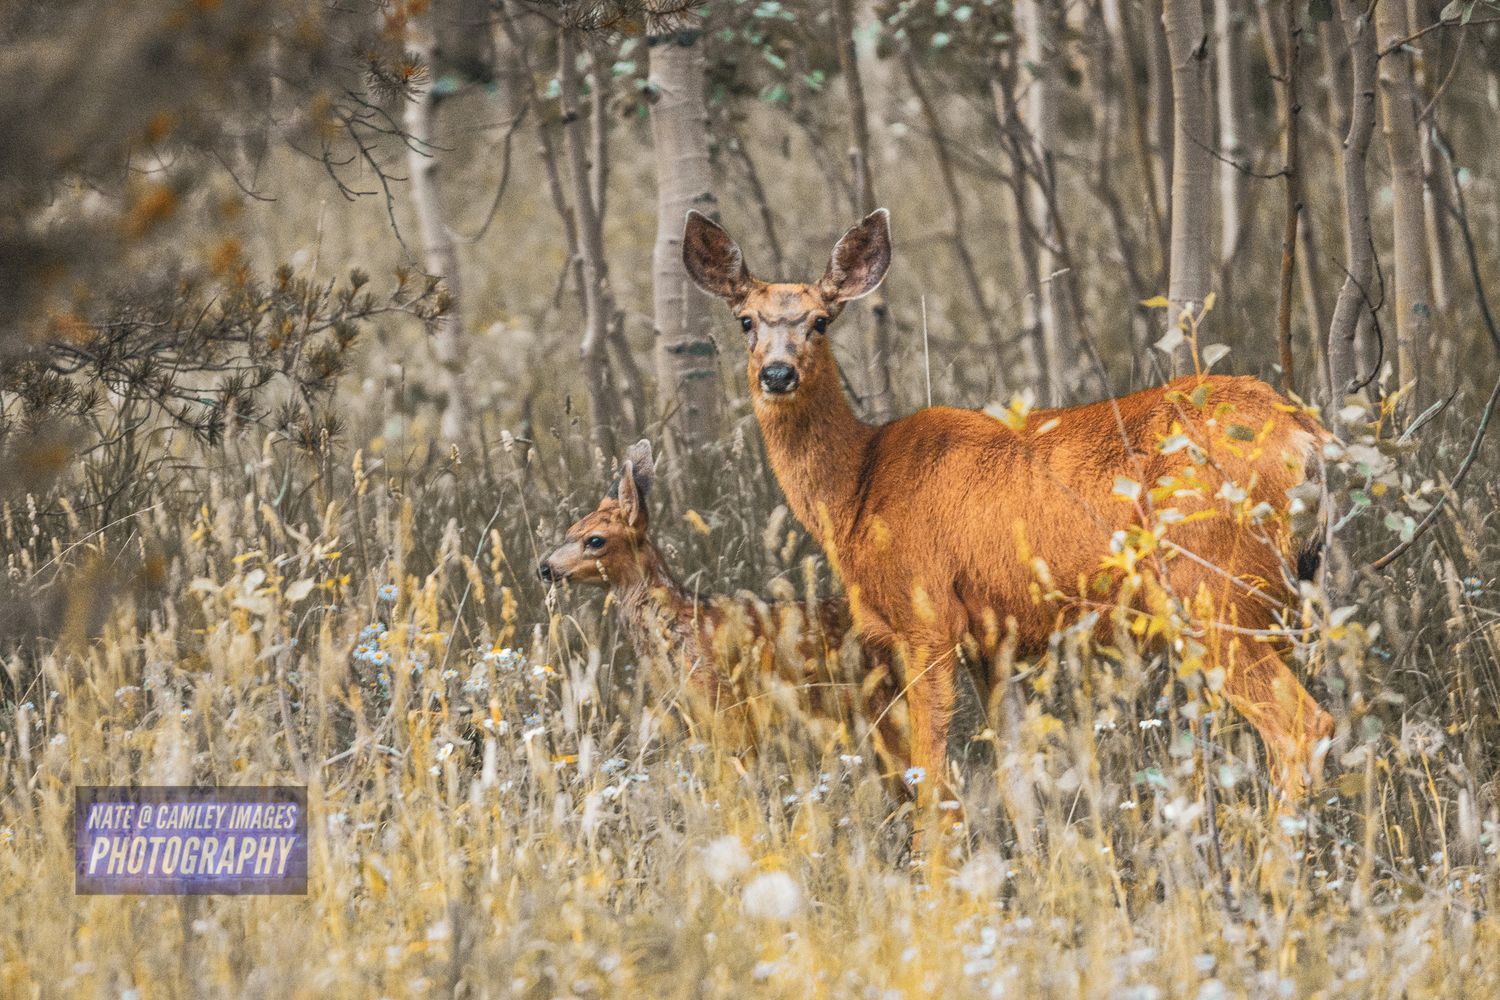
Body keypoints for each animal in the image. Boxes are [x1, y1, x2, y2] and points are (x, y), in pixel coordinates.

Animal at [538, 440, 909, 777]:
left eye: (595, 540)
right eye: (570, 530)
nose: (545, 568)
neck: (680, 625)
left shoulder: (727, 707)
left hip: (885, 706)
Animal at [682, 208, 1335, 845]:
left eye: (820, 320)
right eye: (745, 321)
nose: (777, 374)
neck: (858, 491)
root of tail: (1306, 436)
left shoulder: (928, 617)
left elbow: (932, 783)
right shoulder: (993, 641)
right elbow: (1017, 782)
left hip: (1208, 586)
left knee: (1302, 724)